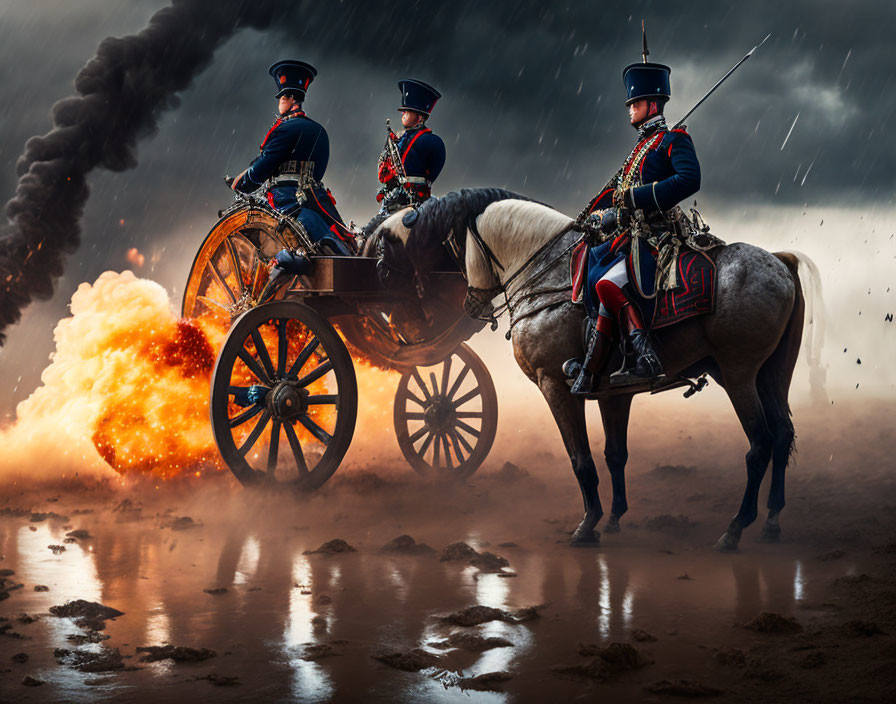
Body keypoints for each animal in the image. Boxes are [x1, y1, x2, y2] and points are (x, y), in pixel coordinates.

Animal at [372, 190, 820, 552]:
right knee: (782, 435)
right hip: (768, 376)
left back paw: (735, 528)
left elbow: (581, 459)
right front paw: (616, 518)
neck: (550, 276)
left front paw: (588, 525)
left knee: (760, 444)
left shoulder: (556, 386)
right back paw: (772, 521)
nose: (470, 305)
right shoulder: (612, 393)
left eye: (452, 248)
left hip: (738, 374)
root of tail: (780, 262)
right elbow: (614, 454)